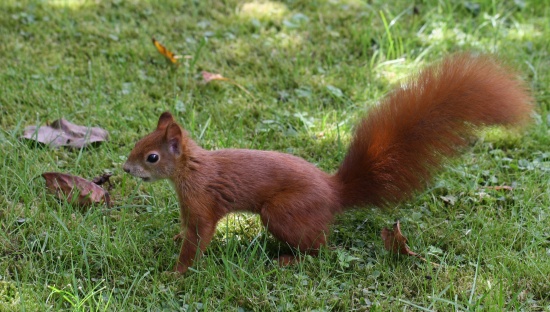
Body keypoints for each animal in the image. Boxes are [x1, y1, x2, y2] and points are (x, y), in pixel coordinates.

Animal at [123, 54, 532, 272]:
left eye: (152, 156)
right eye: (138, 143)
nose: (125, 169)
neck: (189, 170)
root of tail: (334, 192)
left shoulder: (204, 202)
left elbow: (199, 237)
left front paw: (177, 272)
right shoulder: (188, 204)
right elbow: (186, 229)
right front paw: (174, 239)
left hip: (282, 213)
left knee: (320, 248)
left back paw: (288, 260)